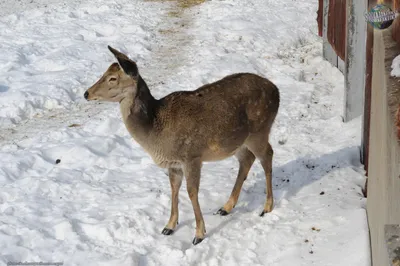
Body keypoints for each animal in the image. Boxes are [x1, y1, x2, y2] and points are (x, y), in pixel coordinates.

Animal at [83, 45, 280, 245]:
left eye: (112, 78)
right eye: (104, 73)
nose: (86, 93)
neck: (155, 132)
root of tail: (276, 90)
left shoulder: (192, 156)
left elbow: (192, 192)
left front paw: (199, 234)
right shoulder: (174, 163)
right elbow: (174, 189)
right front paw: (169, 226)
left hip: (259, 130)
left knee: (267, 155)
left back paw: (267, 207)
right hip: (238, 141)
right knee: (247, 159)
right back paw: (226, 207)